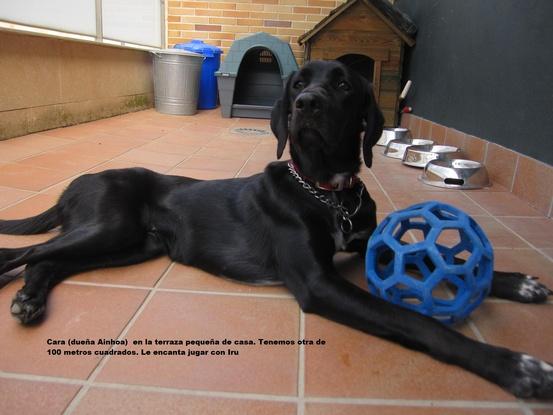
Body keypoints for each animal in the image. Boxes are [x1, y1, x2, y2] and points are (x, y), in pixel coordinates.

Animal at [0, 60, 548, 398]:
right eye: (297, 84)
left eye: (344, 84)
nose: (306, 104)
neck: (328, 193)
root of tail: (77, 182)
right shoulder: (318, 283)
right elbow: (415, 320)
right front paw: (514, 366)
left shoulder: (372, 248)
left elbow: (440, 258)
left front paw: (516, 282)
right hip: (108, 226)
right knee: (23, 254)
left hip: (133, 245)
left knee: (48, 260)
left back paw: (30, 300)